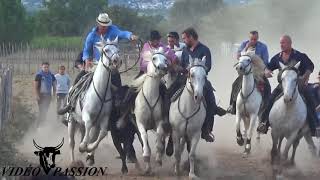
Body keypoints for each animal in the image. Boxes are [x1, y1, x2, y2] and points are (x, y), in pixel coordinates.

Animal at [131, 46, 169, 174]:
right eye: (154, 58)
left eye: (165, 59)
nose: (162, 67)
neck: (150, 96)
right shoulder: (140, 123)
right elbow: (144, 139)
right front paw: (146, 157)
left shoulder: (160, 122)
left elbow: (159, 137)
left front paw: (158, 159)